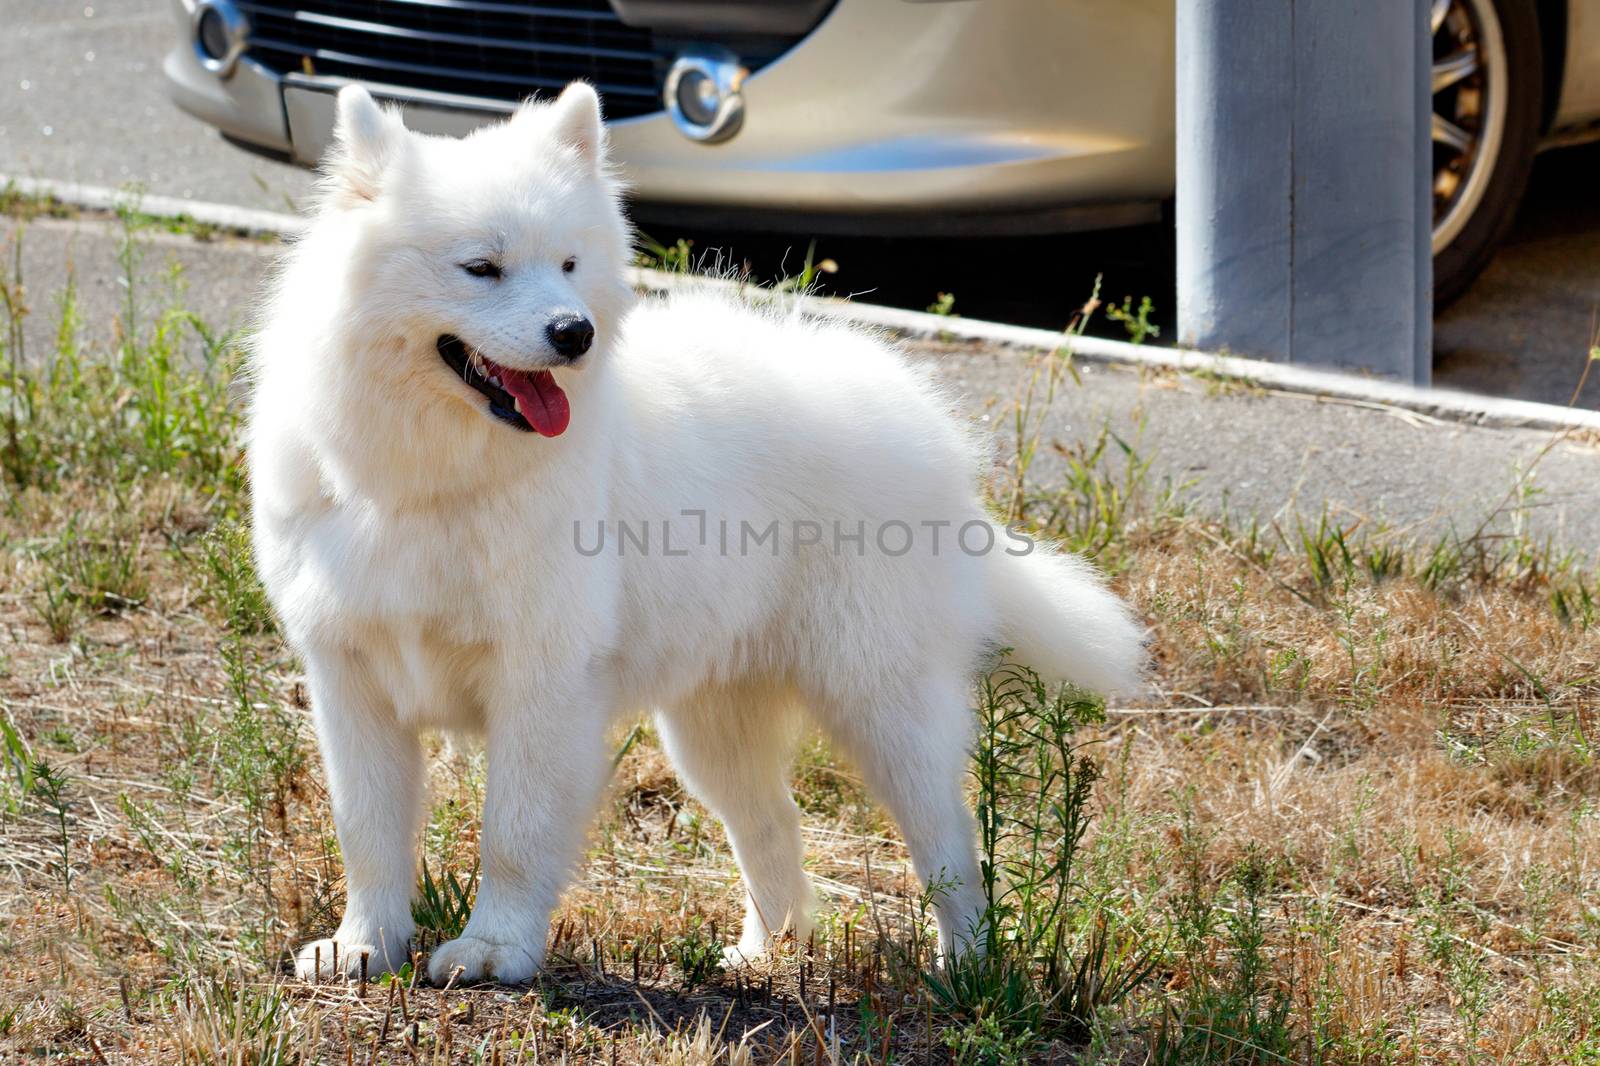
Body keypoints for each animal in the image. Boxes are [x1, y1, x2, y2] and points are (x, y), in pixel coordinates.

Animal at [249, 78, 1145, 985]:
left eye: (569, 265)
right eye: (482, 268)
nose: (575, 334)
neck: (428, 483)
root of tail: (927, 425)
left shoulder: (540, 682)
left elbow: (514, 833)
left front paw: (493, 951)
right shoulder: (350, 677)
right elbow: (368, 832)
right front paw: (363, 946)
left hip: (883, 702)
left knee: (951, 843)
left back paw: (963, 970)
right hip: (715, 724)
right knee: (774, 827)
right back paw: (762, 956)